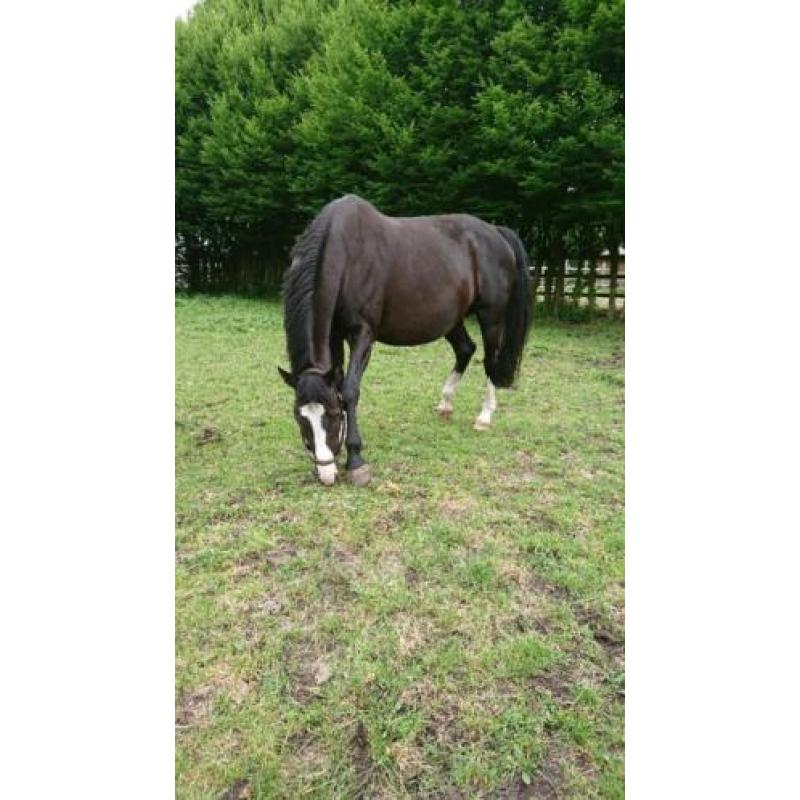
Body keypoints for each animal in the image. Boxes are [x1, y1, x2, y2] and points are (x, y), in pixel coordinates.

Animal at [278, 194, 533, 486]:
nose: (326, 474)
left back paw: (484, 416)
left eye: (331, 415)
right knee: (466, 349)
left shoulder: (363, 334)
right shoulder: (334, 334)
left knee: (490, 360)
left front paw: (355, 460)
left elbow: (350, 390)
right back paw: (446, 403)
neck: (348, 255)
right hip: (451, 319)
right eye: (299, 417)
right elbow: (339, 384)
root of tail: (496, 232)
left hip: (491, 316)